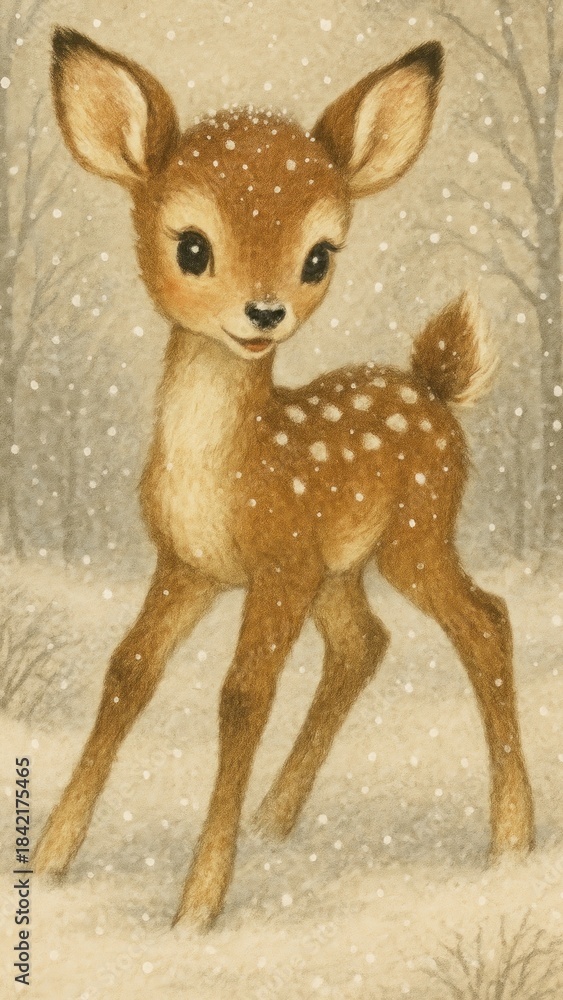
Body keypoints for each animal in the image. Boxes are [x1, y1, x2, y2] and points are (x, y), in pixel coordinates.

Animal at [34, 27, 534, 930]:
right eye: (192, 247)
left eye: (317, 256)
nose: (264, 313)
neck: (230, 468)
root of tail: (434, 386)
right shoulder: (189, 563)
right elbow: (128, 671)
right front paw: (46, 862)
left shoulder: (276, 560)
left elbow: (241, 696)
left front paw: (196, 909)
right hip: (340, 565)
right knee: (365, 641)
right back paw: (275, 818)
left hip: (413, 533)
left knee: (485, 620)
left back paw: (511, 842)